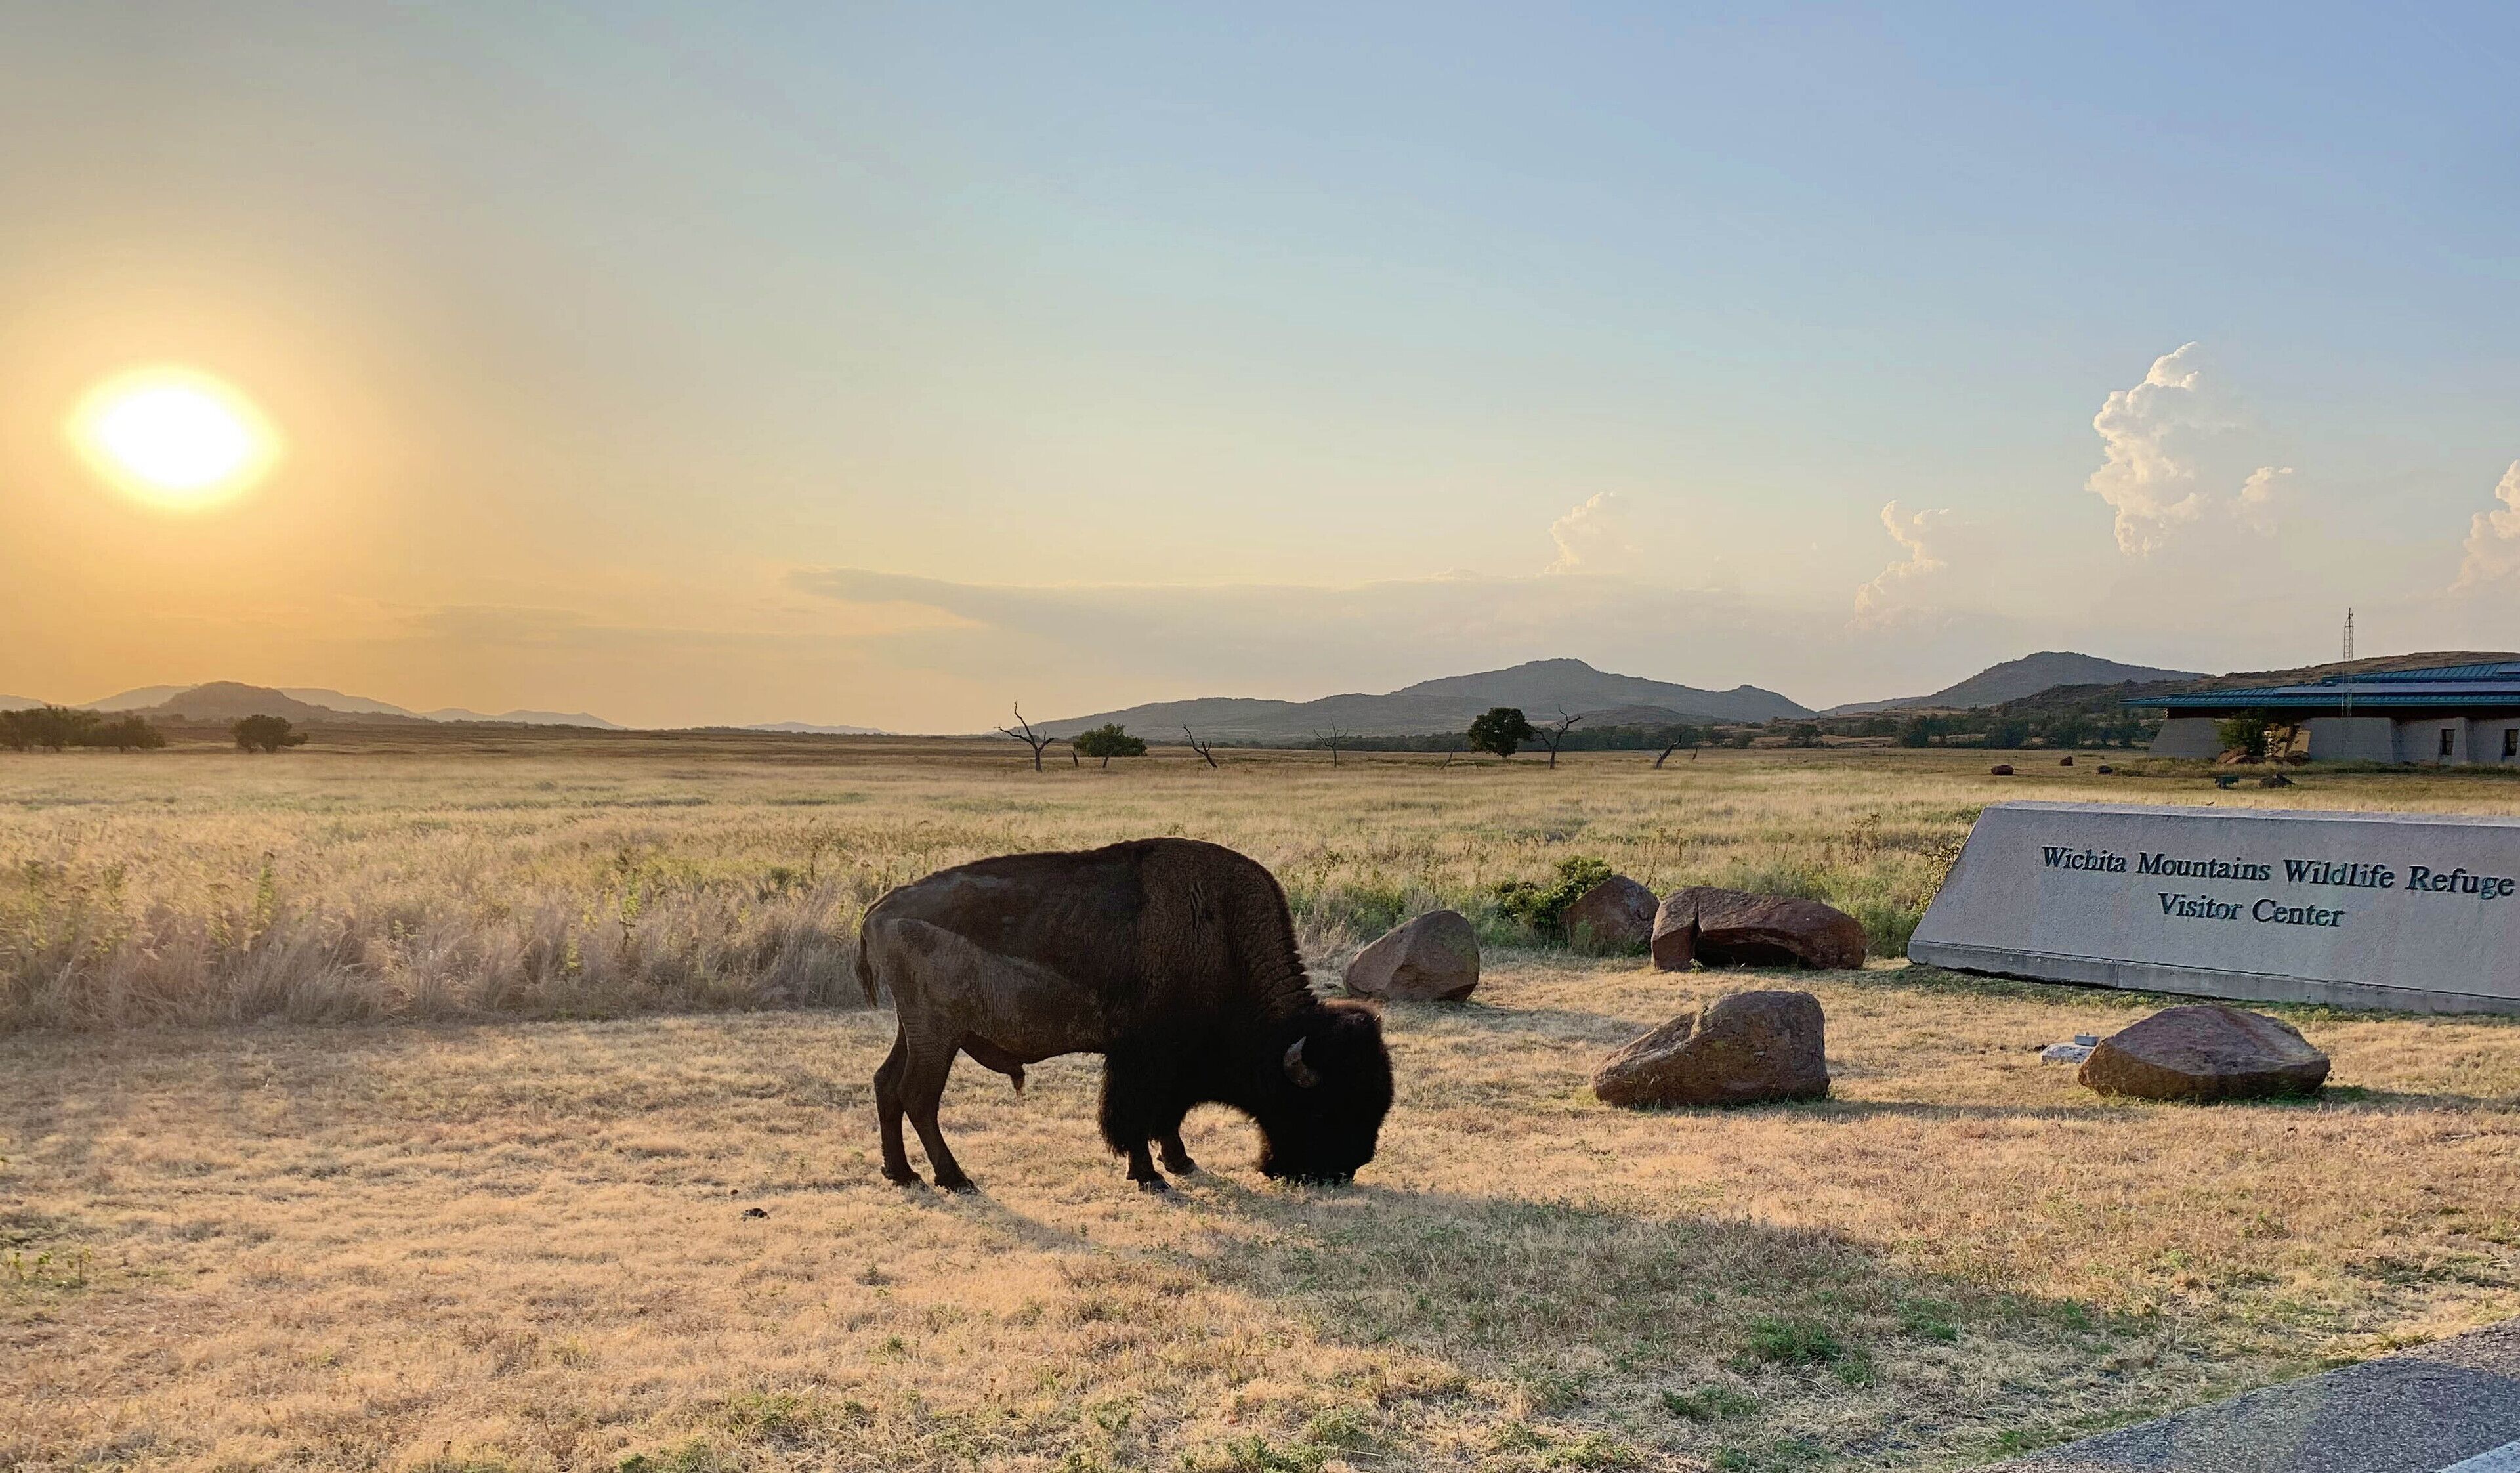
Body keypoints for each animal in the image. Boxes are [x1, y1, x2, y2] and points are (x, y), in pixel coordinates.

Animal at [855, 838, 1393, 1192]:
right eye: (1323, 1107)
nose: (1342, 1170)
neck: (1221, 938)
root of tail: (879, 910)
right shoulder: (1142, 1061)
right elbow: (1135, 1118)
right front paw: (1151, 1177)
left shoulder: (1167, 1067)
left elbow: (1166, 1118)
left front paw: (1180, 1163)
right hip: (937, 1035)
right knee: (918, 1096)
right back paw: (954, 1178)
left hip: (915, 1032)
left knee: (887, 1084)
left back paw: (902, 1174)